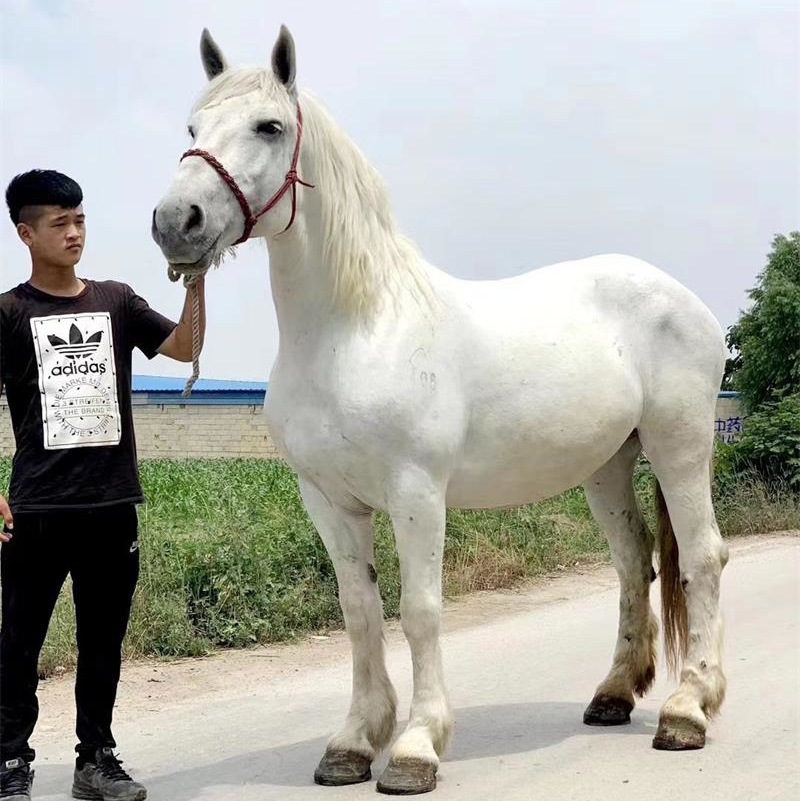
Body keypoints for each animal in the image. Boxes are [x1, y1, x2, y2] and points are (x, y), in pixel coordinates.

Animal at [152, 25, 729, 795]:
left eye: (269, 126)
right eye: (192, 129)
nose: (175, 222)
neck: (353, 328)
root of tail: (684, 297)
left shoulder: (416, 494)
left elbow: (420, 612)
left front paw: (415, 746)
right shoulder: (328, 501)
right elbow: (360, 613)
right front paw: (353, 741)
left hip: (679, 446)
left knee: (701, 556)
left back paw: (688, 708)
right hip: (607, 465)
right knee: (634, 563)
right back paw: (612, 694)